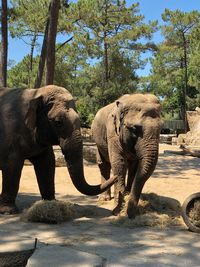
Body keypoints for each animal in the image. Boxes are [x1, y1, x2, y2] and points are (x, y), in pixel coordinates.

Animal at [0, 85, 116, 215]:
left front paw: (50, 203)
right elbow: (12, 165)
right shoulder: (10, 135)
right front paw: (8, 211)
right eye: (58, 122)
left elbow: (47, 163)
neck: (36, 93)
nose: (116, 177)